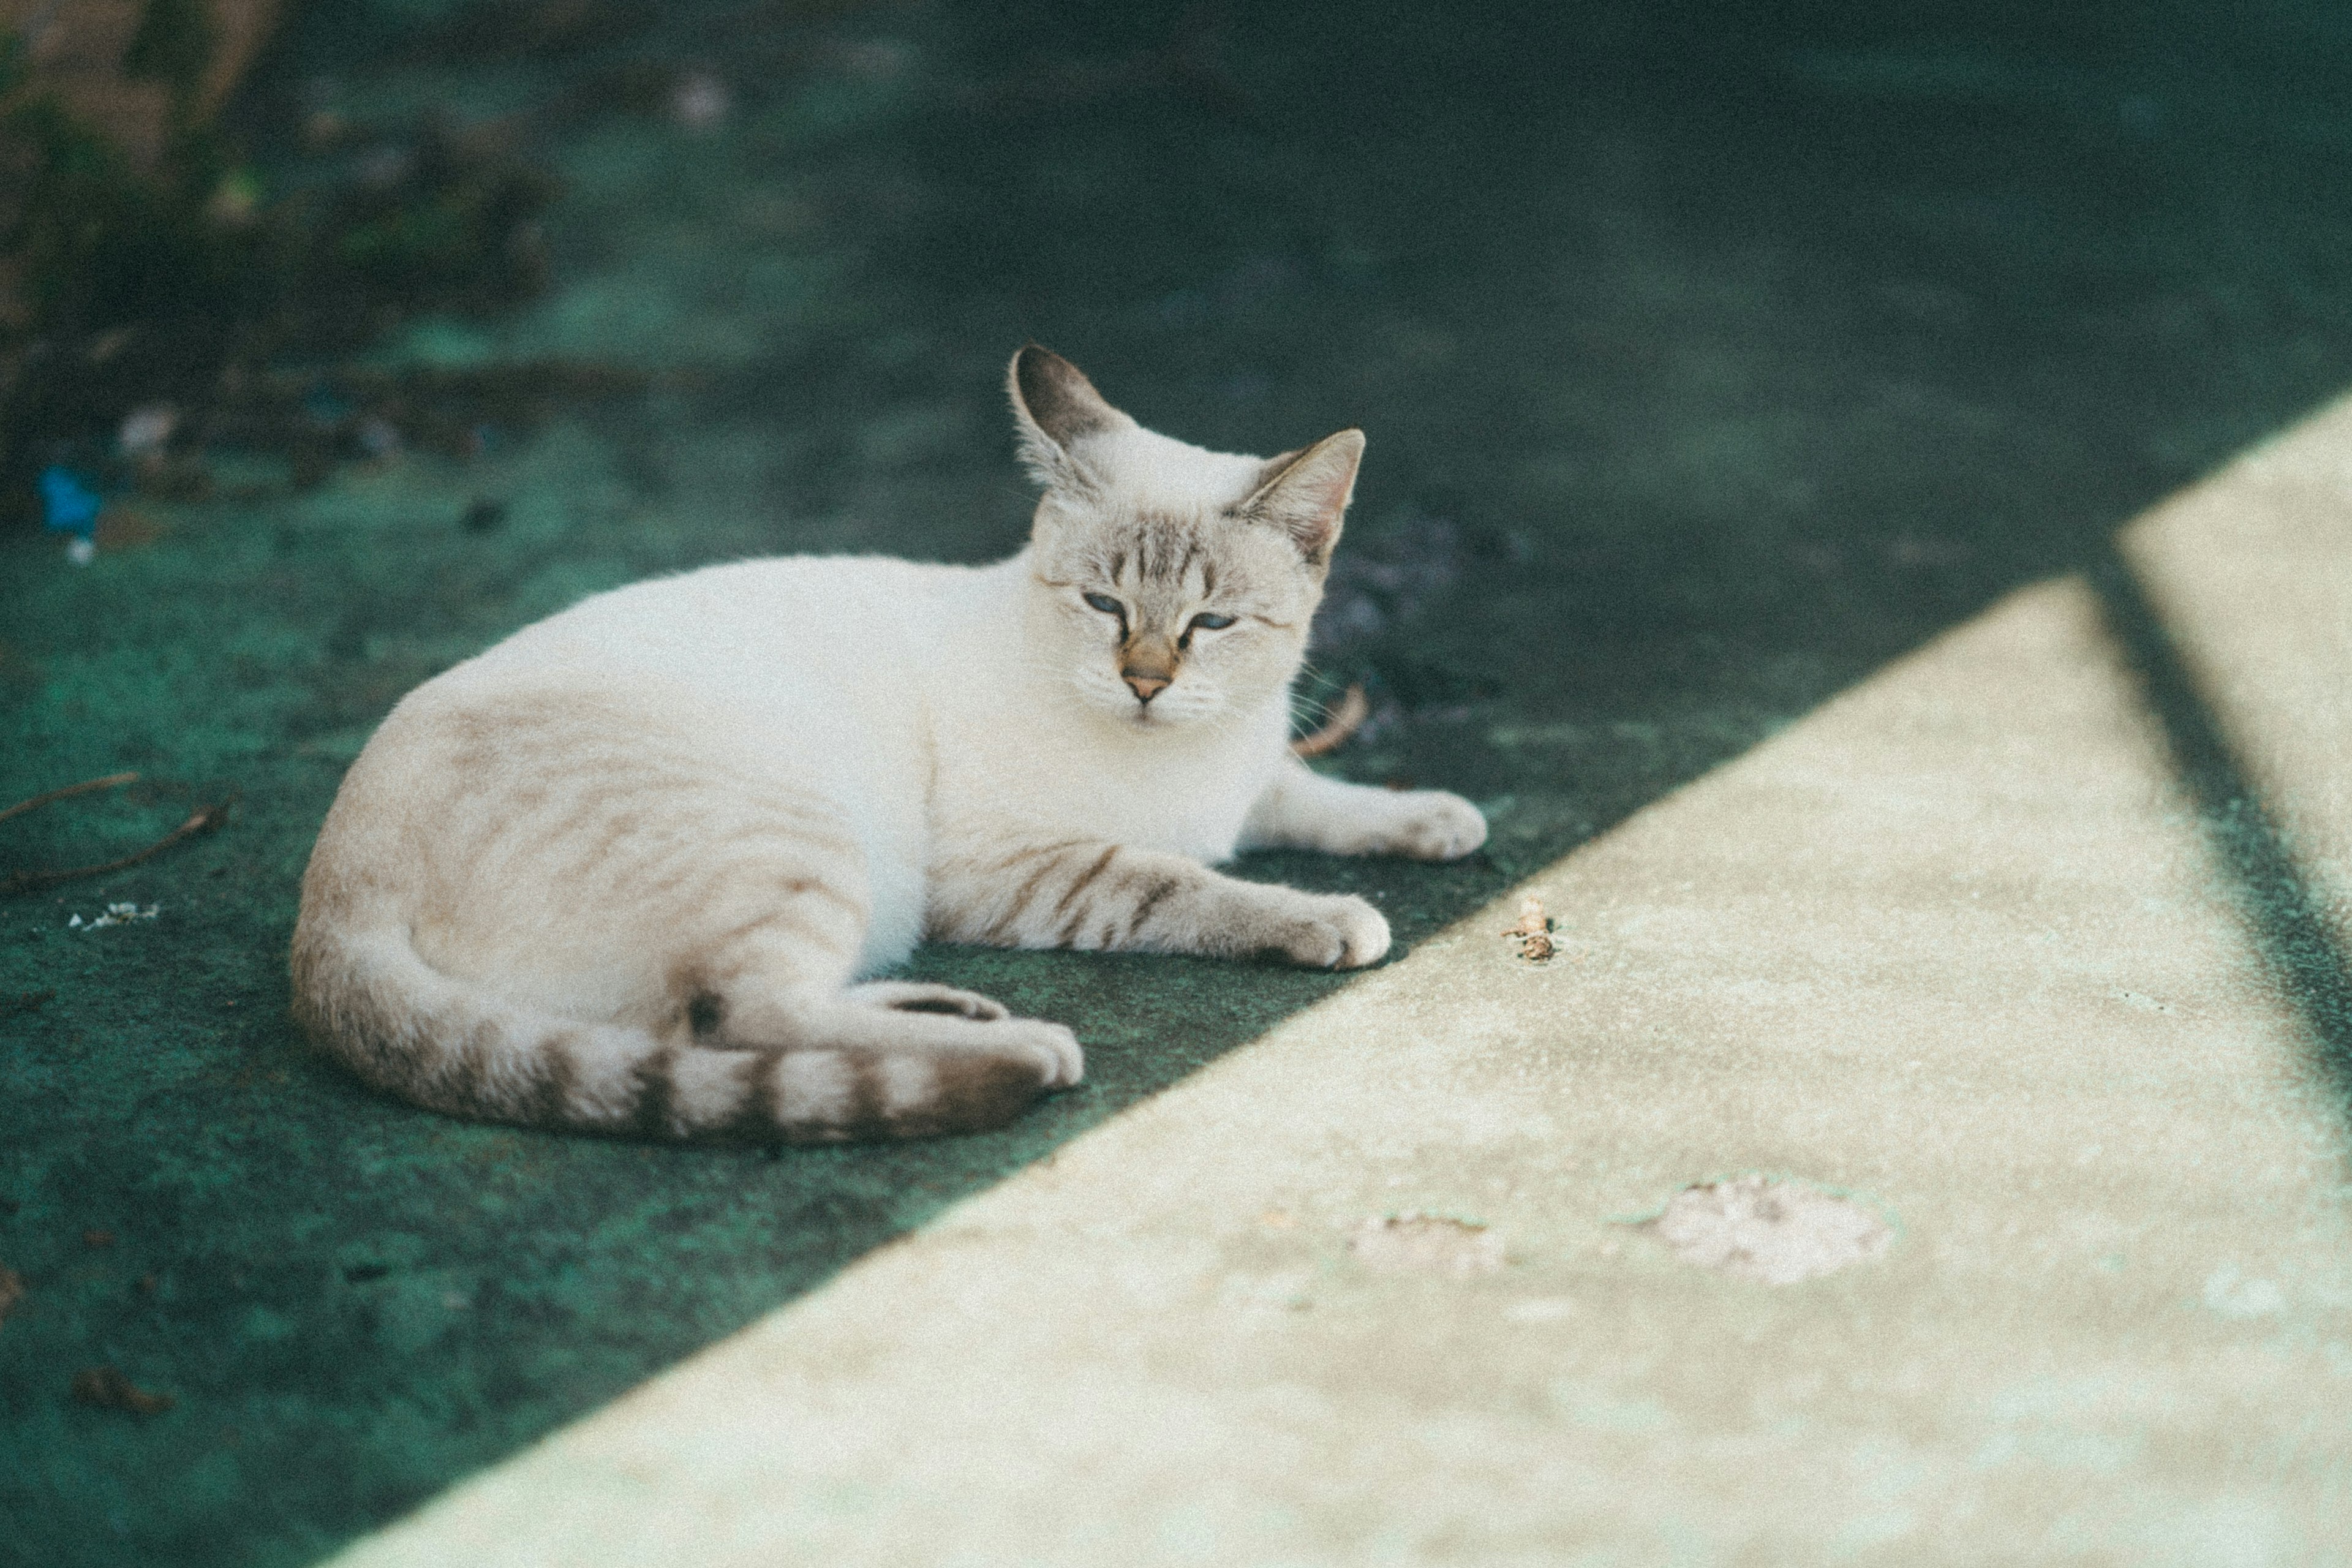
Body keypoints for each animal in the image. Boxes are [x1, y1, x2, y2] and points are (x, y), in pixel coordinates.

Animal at [284, 350, 1477, 1142]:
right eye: (1103, 605)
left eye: (1211, 625)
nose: (1147, 680)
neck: (1188, 756)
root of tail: (328, 896)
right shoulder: (1020, 870)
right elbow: (1185, 886)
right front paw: (1326, 918)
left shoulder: (1245, 773)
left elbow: (1314, 791)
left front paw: (1434, 818)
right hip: (807, 838)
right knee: (733, 1016)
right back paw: (1021, 1048)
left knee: (733, 1020)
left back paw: (947, 1008)